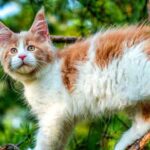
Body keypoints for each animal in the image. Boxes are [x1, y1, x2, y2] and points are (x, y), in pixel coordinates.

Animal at [0, 7, 150, 150]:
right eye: (13, 51)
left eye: (31, 48)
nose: (22, 56)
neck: (35, 79)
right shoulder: (65, 120)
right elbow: (58, 142)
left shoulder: (53, 114)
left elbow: (45, 140)